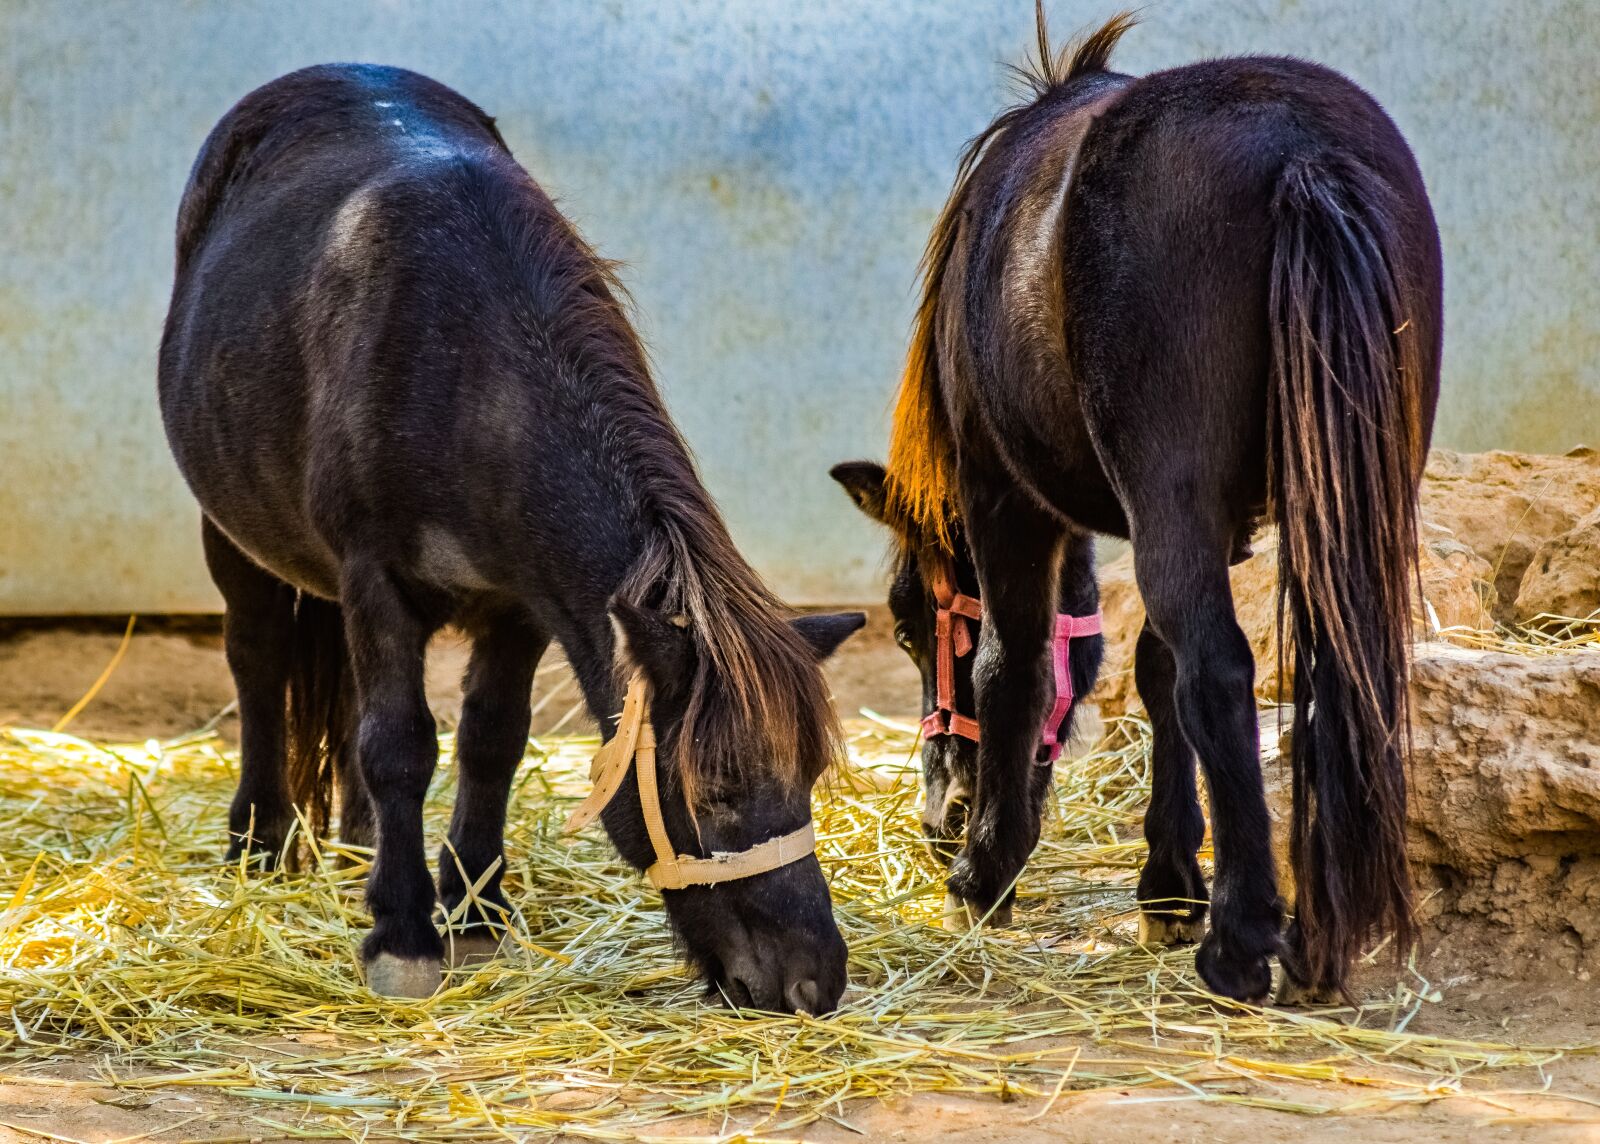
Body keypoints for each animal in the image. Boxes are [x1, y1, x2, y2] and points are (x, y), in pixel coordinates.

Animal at [159, 63, 864, 1011]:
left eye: (811, 776)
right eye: (716, 789)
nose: (813, 981)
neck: (469, 382)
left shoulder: (524, 602)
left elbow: (491, 738)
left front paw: (476, 912)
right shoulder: (376, 582)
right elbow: (400, 746)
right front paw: (404, 936)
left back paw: (354, 846)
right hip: (234, 539)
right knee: (260, 665)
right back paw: (260, 848)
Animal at [833, 9, 1441, 1003]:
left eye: (912, 628)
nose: (940, 814)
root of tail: (1299, 153)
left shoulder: (1005, 496)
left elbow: (1015, 666)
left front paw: (985, 875)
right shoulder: (1222, 526)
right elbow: (1155, 674)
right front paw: (1169, 880)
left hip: (1169, 500)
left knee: (1221, 674)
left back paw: (1240, 942)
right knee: (1328, 675)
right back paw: (1318, 932)